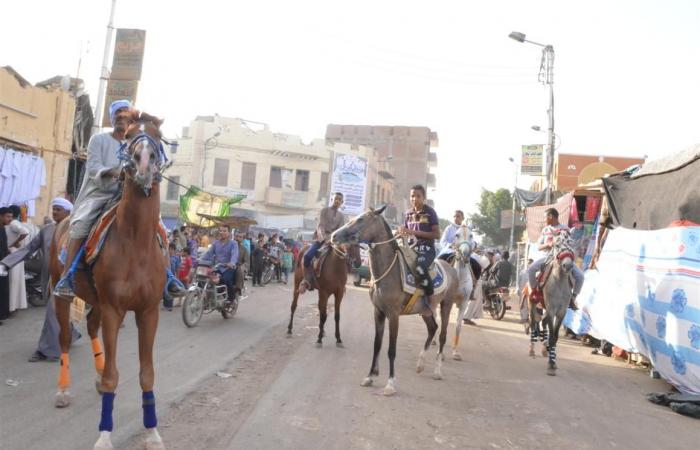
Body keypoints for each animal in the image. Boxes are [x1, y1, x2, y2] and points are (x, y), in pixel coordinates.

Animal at [50, 110, 170, 450]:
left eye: (158, 136)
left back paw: (96, 375)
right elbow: (114, 376)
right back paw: (63, 390)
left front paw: (152, 431)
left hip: (96, 301)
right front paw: (104, 435)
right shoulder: (115, 310)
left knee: (91, 328)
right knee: (65, 337)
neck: (135, 243)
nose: (144, 163)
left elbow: (147, 373)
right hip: (63, 294)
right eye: (129, 135)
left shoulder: (148, 312)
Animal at [332, 206, 460, 396]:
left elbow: (391, 350)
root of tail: (450, 267)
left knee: (442, 335)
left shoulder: (393, 315)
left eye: (361, 219)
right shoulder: (378, 312)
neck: (387, 271)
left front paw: (390, 384)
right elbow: (377, 345)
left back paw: (437, 371)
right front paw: (370, 376)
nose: (334, 236)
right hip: (426, 310)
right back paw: (420, 364)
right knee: (432, 328)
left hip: (446, 305)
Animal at [528, 232, 576, 376]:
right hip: (533, 303)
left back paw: (545, 349)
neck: (559, 280)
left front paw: (553, 362)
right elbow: (551, 336)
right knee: (533, 323)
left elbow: (554, 336)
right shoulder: (551, 309)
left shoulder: (561, 312)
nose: (568, 265)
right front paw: (550, 365)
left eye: (571, 243)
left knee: (542, 323)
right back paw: (532, 350)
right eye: (557, 244)